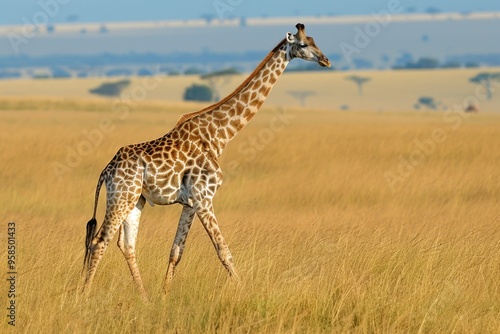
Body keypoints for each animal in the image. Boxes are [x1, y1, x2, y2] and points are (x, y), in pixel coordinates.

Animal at [83, 22, 330, 300]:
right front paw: (244, 293)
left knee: (126, 244)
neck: (219, 135)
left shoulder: (191, 203)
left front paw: (164, 297)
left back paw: (144, 299)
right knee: (99, 241)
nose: (326, 60)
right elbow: (223, 251)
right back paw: (84, 295)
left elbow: (176, 252)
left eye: (315, 40)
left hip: (136, 199)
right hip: (121, 196)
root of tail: (106, 170)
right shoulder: (204, 198)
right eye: (303, 44)